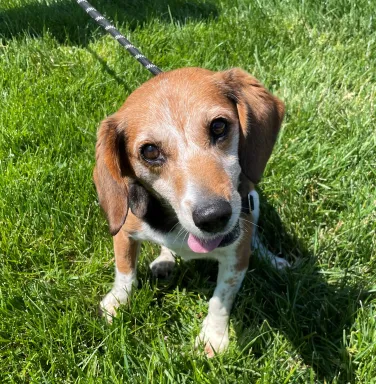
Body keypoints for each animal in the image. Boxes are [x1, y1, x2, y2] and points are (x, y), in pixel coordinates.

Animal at [93, 67, 288, 356]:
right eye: (150, 151)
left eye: (219, 126)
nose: (213, 216)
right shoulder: (124, 231)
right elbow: (125, 271)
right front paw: (117, 302)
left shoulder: (236, 256)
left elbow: (221, 298)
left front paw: (213, 337)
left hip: (254, 203)